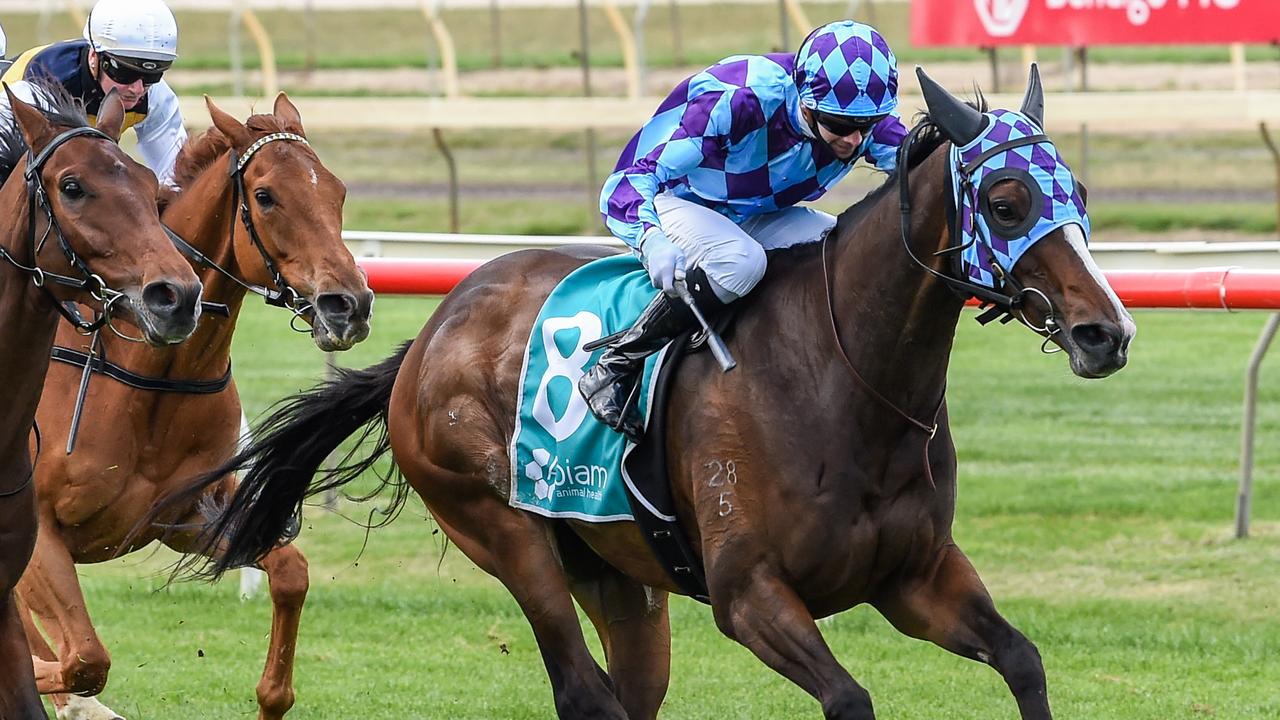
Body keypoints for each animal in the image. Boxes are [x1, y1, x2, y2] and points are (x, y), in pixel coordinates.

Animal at [157, 68, 1131, 717]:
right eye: (1005, 200)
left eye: (1078, 189)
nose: (1106, 332)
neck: (844, 379)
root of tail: (431, 334)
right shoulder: (751, 597)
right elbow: (850, 699)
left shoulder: (914, 576)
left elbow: (1024, 661)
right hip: (501, 530)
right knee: (585, 691)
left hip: (616, 568)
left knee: (628, 690)